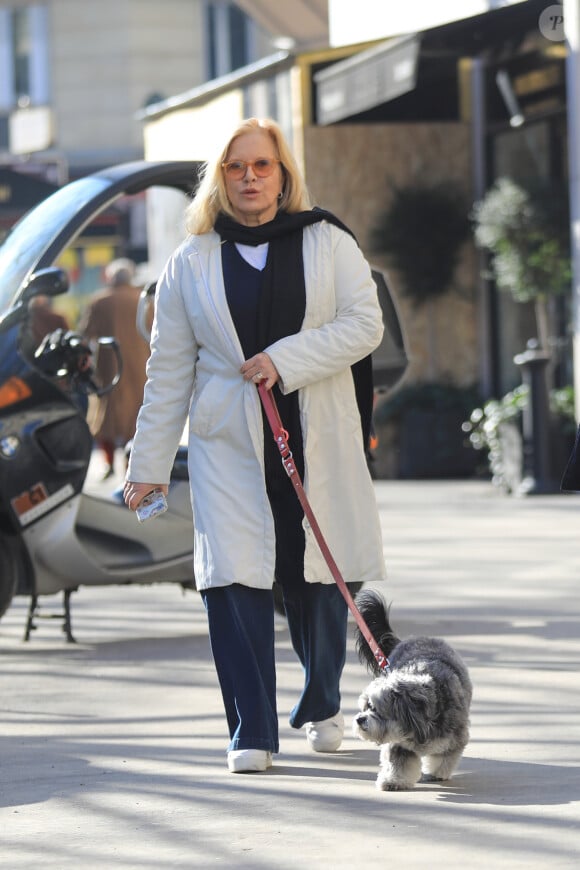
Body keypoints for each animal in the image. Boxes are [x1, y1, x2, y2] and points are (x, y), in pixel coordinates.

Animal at [354, 588, 472, 792]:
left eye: (375, 708)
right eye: (365, 707)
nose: (359, 719)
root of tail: (413, 638)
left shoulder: (455, 739)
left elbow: (445, 758)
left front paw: (437, 773)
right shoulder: (397, 742)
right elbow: (397, 762)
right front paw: (393, 780)